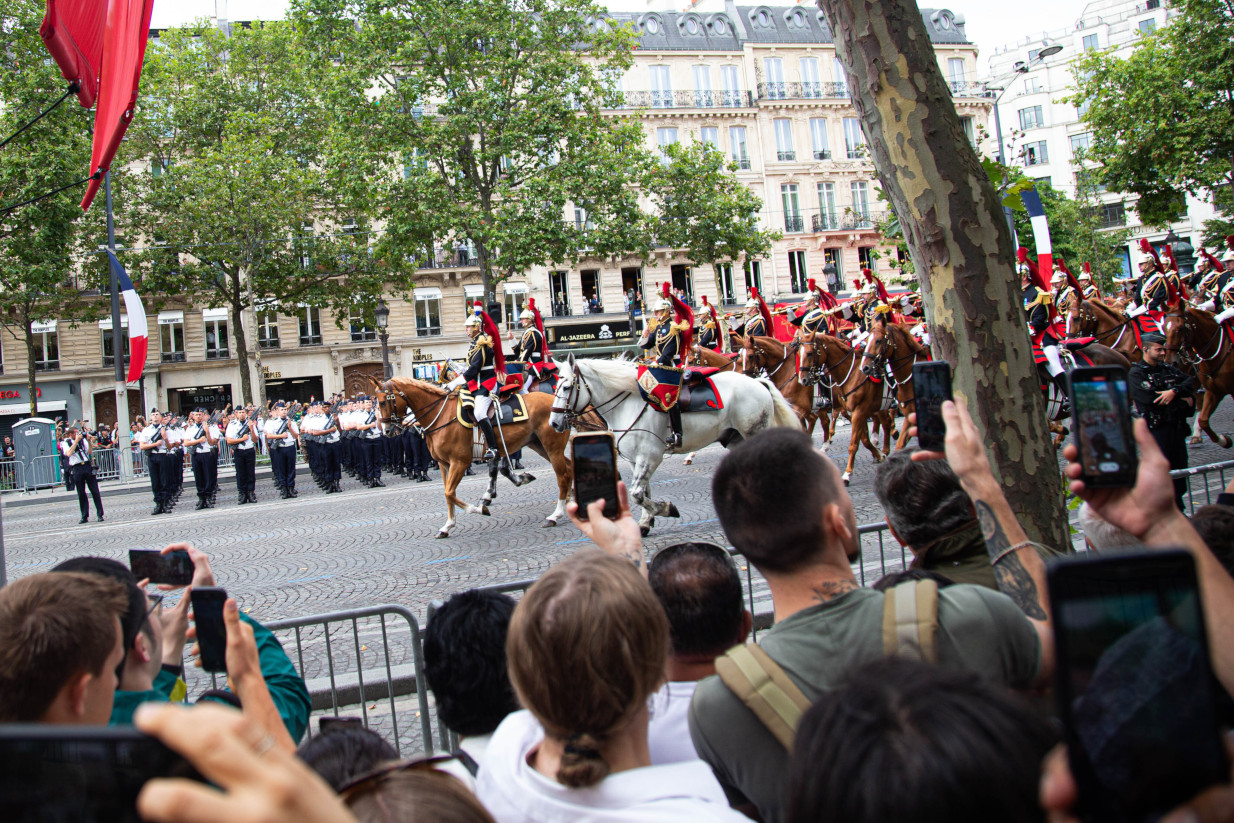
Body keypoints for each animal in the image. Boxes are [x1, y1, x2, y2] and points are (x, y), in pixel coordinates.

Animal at [375, 380, 572, 540]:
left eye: (383, 402)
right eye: (377, 402)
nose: (387, 431)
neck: (440, 415)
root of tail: (562, 406)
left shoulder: (459, 462)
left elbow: (450, 493)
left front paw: (479, 509)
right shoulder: (444, 464)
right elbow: (448, 494)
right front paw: (447, 526)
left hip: (552, 447)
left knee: (562, 476)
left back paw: (555, 515)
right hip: (539, 445)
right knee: (568, 468)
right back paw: (568, 502)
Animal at [550, 352, 799, 535]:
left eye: (566, 387)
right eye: (555, 387)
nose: (553, 422)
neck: (628, 403)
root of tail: (758, 382)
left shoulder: (650, 457)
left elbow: (637, 494)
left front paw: (667, 509)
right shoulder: (635, 460)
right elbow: (643, 491)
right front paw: (645, 523)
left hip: (755, 432)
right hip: (735, 439)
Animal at [794, 333, 893, 486]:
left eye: (810, 353)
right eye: (799, 352)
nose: (803, 380)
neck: (851, 373)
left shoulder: (859, 411)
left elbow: (854, 443)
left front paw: (847, 474)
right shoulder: (856, 411)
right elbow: (863, 438)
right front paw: (877, 454)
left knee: (887, 423)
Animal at [1159, 302, 1229, 446]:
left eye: (1181, 328)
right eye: (1164, 327)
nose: (1170, 361)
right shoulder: (1213, 390)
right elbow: (1203, 420)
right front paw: (1224, 440)